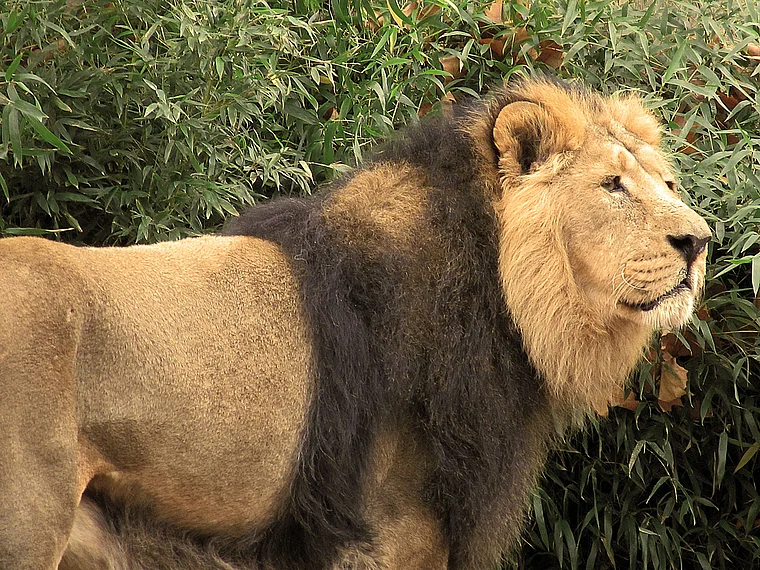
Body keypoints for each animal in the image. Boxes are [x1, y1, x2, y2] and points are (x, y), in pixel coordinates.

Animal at [0, 77, 710, 570]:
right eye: (612, 185)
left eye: (668, 183)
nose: (700, 242)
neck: (505, 293)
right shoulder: (398, 529)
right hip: (29, 522)